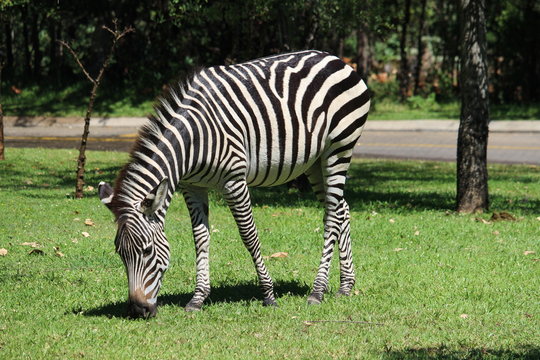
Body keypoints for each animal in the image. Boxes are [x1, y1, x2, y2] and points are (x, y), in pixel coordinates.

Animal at [97, 50, 370, 318]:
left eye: (147, 251)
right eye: (120, 253)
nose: (137, 310)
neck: (193, 141)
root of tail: (335, 59)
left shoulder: (234, 181)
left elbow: (249, 236)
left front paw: (269, 295)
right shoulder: (192, 186)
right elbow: (200, 237)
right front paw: (198, 298)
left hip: (339, 149)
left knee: (332, 217)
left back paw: (317, 291)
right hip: (315, 162)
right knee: (341, 209)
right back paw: (346, 286)